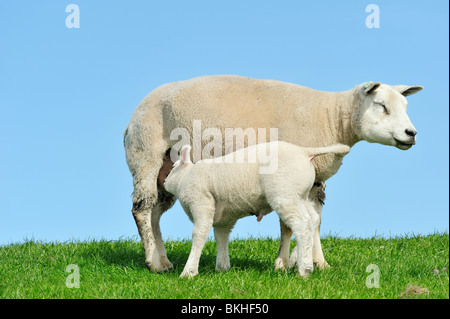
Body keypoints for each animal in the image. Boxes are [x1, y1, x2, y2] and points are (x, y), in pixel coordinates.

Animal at [163, 142, 350, 278]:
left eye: (172, 168)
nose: (163, 182)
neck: (184, 178)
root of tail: (303, 152)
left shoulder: (201, 203)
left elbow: (198, 235)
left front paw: (188, 272)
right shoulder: (224, 218)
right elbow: (221, 237)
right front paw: (222, 267)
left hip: (285, 194)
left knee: (302, 225)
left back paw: (304, 270)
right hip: (300, 195)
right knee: (313, 219)